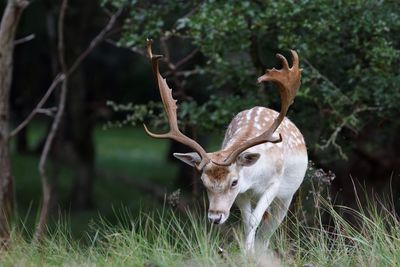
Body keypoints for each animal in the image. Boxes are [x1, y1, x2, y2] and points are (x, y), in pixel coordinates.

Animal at [143, 38, 306, 252]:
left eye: (234, 181)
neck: (255, 178)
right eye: (203, 182)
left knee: (269, 230)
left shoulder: (273, 184)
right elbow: (247, 222)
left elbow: (254, 221)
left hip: (287, 195)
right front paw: (246, 252)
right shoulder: (243, 193)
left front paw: (249, 254)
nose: (215, 217)